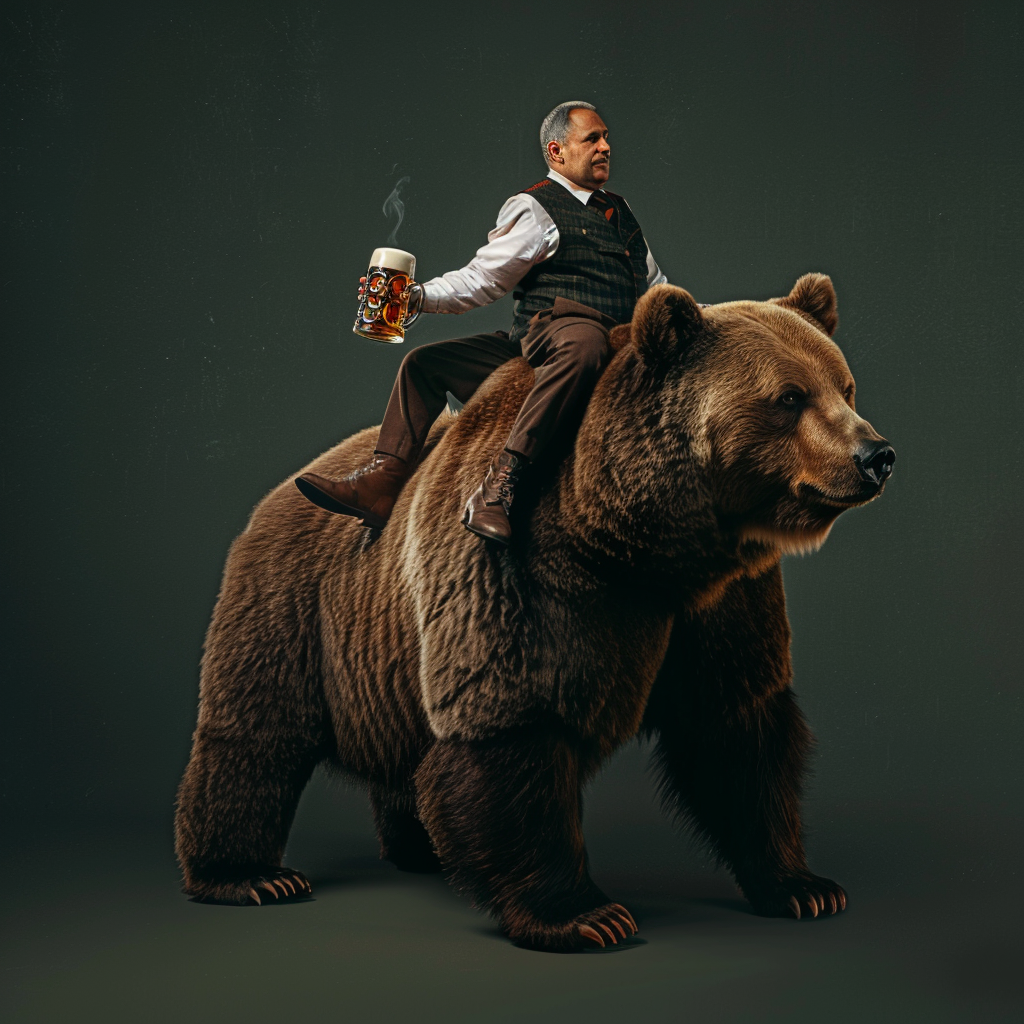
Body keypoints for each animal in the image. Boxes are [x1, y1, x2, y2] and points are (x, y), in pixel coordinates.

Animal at [176, 272, 897, 950]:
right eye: (789, 397)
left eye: (846, 386)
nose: (876, 456)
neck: (640, 548)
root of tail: (278, 492)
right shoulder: (520, 574)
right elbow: (513, 727)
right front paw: (586, 915)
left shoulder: (722, 605)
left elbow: (738, 726)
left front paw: (804, 887)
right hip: (298, 608)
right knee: (255, 736)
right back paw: (250, 875)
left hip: (386, 654)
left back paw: (417, 851)